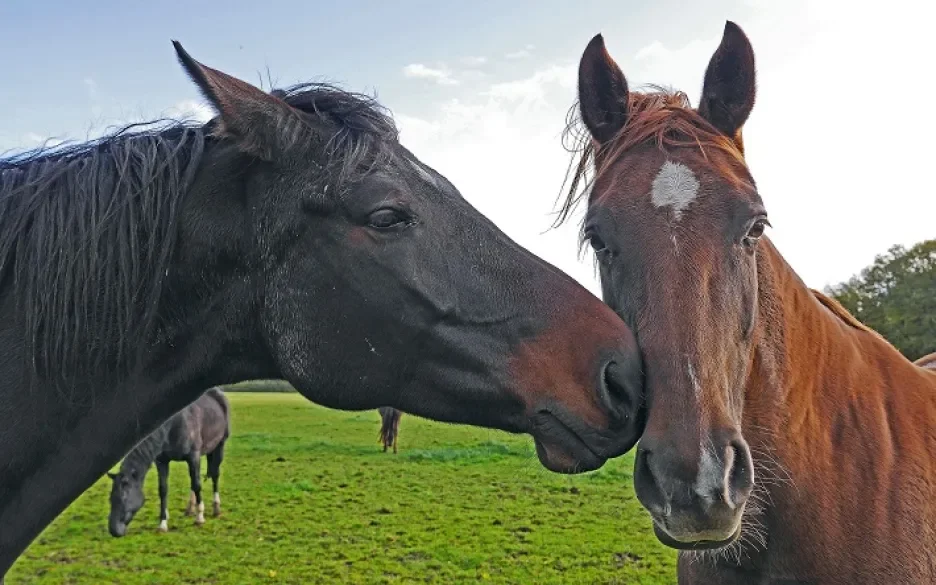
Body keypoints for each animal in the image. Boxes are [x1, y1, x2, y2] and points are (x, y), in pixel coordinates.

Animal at [106, 386, 229, 536]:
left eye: (124, 496)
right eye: (111, 497)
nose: (113, 530)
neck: (174, 423)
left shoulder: (193, 456)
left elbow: (197, 485)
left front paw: (200, 517)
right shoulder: (162, 461)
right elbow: (163, 490)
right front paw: (163, 523)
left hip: (219, 446)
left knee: (214, 475)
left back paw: (216, 508)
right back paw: (190, 508)